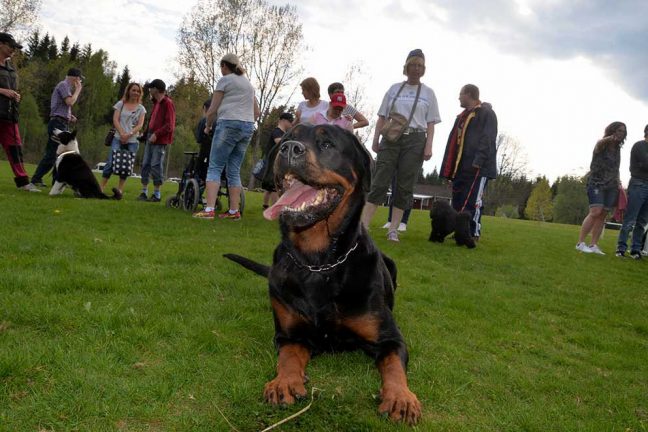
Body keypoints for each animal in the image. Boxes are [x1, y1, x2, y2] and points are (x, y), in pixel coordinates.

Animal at [225, 123, 422, 424]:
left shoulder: (390, 338)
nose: (288, 148)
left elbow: (393, 366)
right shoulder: (289, 334)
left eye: (327, 144)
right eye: (287, 137)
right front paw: (284, 382)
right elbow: (289, 357)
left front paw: (401, 397)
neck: (318, 262)